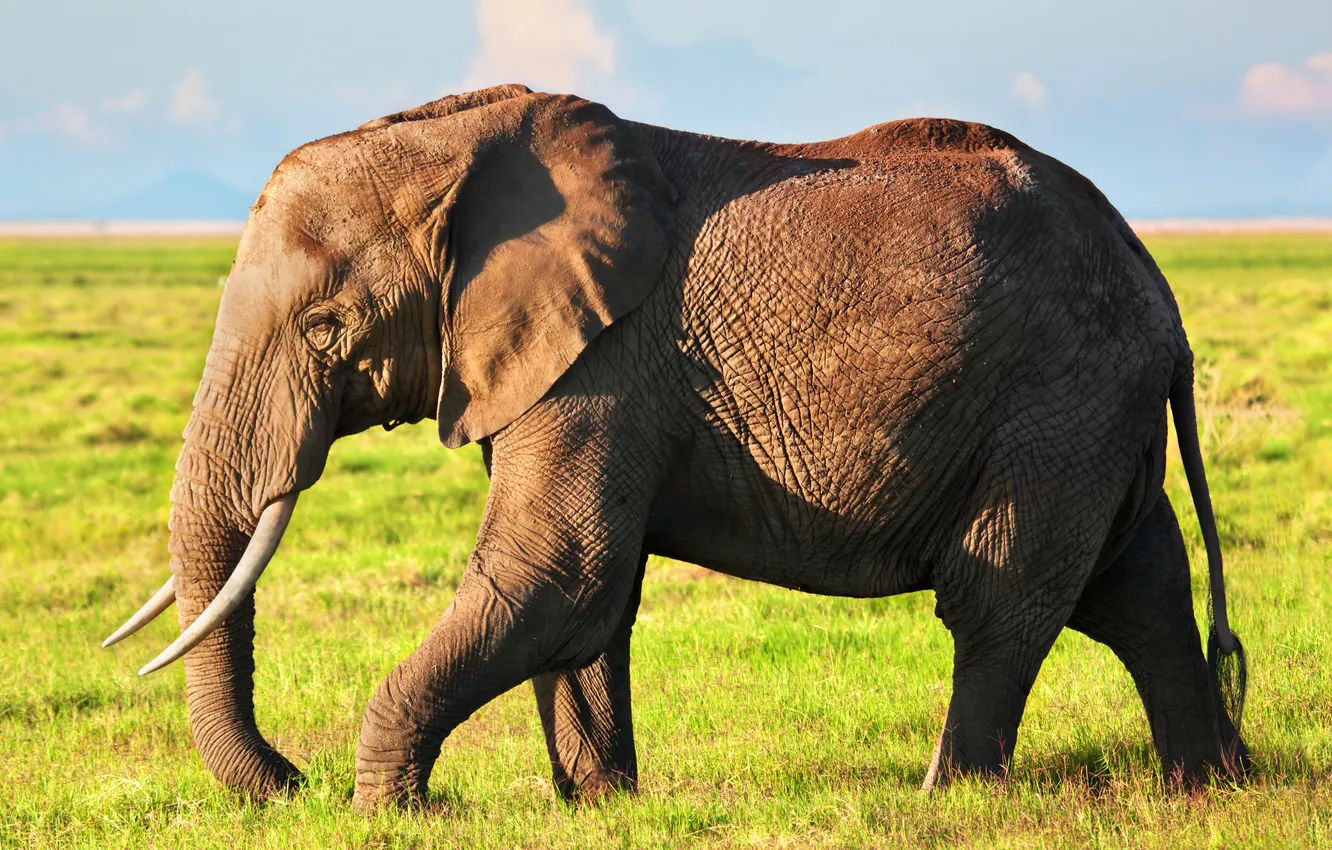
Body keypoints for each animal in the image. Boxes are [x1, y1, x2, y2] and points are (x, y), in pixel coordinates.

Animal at [103, 83, 1249, 809]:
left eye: (325, 330)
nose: (287, 781)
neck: (465, 140)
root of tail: (1162, 294)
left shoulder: (604, 360)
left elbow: (558, 571)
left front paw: (391, 811)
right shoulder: (560, 363)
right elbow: (587, 601)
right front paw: (600, 804)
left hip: (1059, 403)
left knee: (1001, 595)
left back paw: (947, 799)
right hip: (1093, 419)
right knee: (1139, 592)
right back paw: (1210, 785)